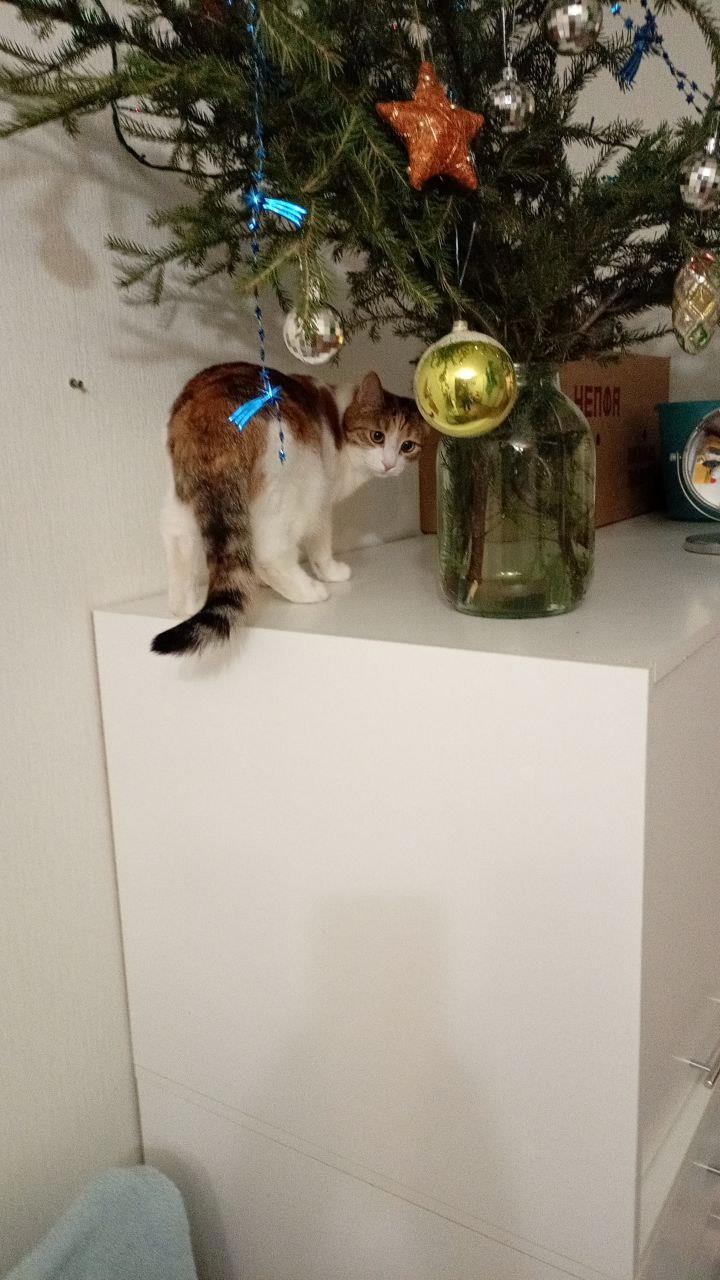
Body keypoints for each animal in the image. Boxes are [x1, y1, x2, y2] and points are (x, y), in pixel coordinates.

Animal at [152, 361, 428, 655]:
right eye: (378, 436)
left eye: (407, 446)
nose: (389, 464)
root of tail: (211, 405)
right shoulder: (323, 503)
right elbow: (321, 544)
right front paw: (331, 572)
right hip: (297, 485)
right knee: (269, 553)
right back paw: (308, 591)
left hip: (184, 498)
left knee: (178, 539)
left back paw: (186, 606)